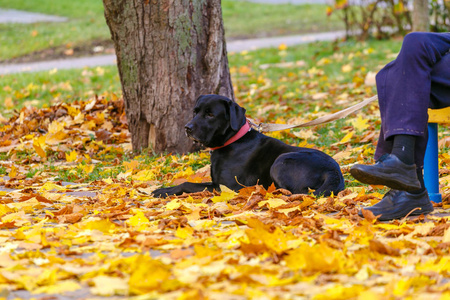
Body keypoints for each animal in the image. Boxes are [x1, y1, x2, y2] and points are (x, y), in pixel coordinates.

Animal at [151, 94, 344, 197]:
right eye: (195, 112)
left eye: (210, 114)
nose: (187, 128)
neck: (232, 141)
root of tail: (334, 172)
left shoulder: (226, 187)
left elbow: (188, 183)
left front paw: (163, 191)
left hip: (281, 161)